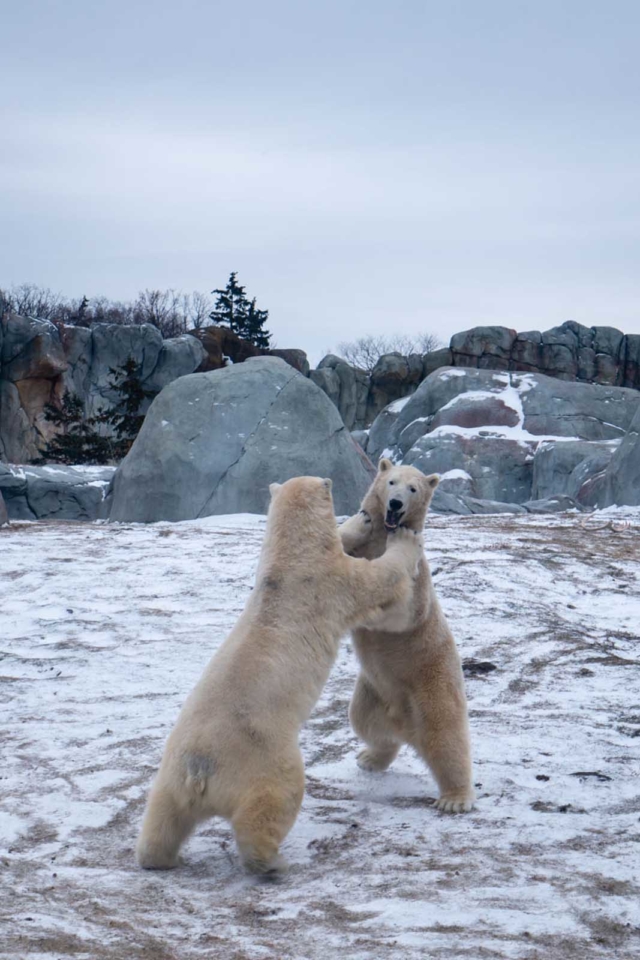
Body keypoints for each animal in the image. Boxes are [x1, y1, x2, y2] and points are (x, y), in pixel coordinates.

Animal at [137, 476, 422, 872]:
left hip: (170, 776)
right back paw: (272, 860)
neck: (288, 560)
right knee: (274, 801)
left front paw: (359, 522)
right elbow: (377, 578)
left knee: (163, 817)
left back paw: (158, 857)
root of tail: (200, 769)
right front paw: (404, 542)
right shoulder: (331, 584)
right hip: (263, 759)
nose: (369, 512)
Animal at [340, 458, 476, 808]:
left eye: (413, 488)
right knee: (365, 722)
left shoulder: (419, 577)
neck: (382, 538)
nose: (395, 504)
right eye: (391, 481)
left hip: (432, 682)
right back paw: (370, 757)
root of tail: (405, 722)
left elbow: (405, 609)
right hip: (373, 691)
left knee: (445, 736)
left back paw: (455, 798)